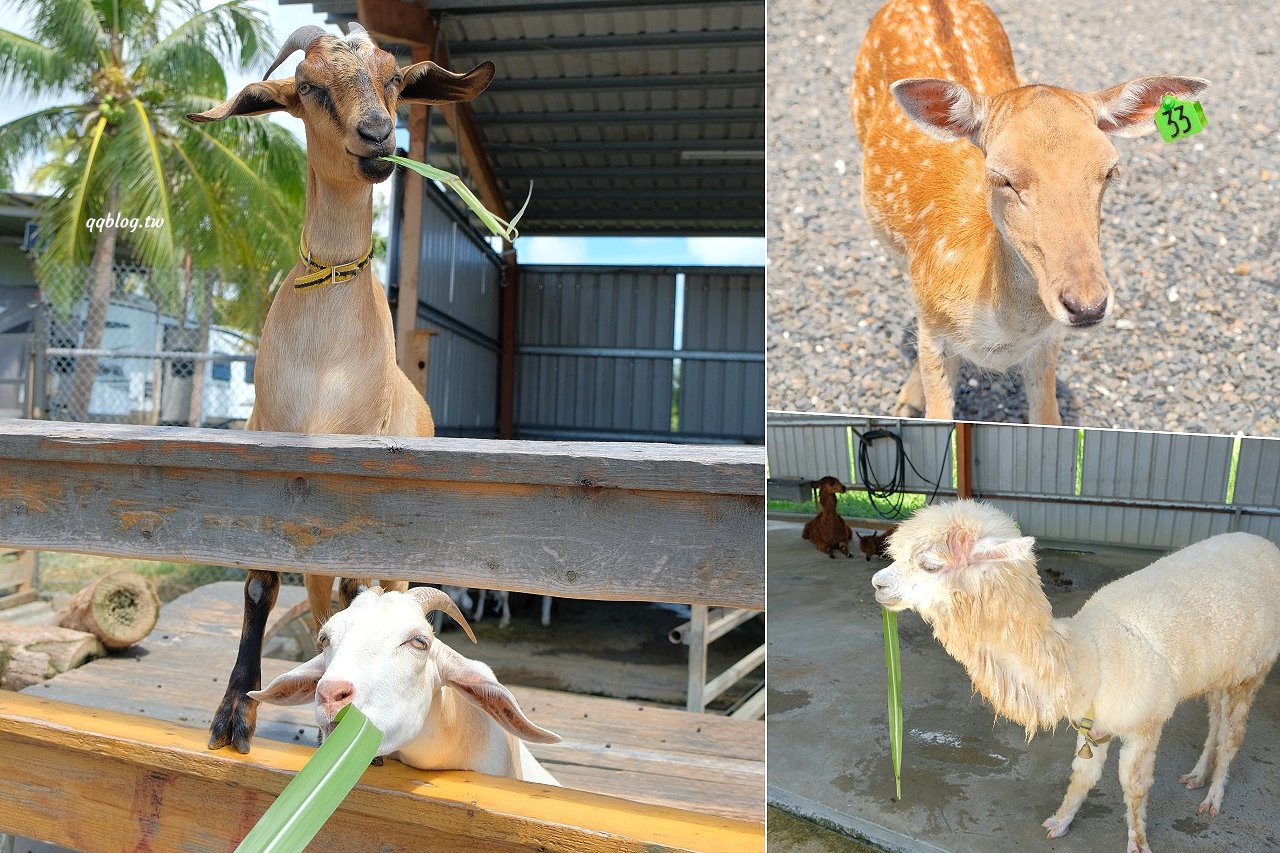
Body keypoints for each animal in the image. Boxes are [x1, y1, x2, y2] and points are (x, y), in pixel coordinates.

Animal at [187, 22, 495, 754]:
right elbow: (258, 590)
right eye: (308, 85)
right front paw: (233, 714)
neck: (324, 372)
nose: (378, 136)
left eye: (395, 79)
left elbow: (368, 601)